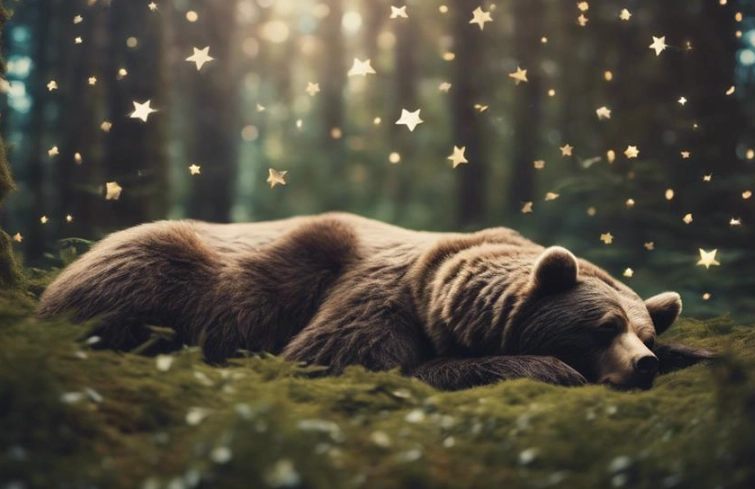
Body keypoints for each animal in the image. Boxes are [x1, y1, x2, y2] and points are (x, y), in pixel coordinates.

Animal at [38, 212, 714, 390]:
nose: (644, 363)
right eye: (601, 326)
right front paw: (552, 367)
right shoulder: (376, 296)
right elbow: (342, 359)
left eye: (643, 333)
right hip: (161, 270)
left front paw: (699, 354)